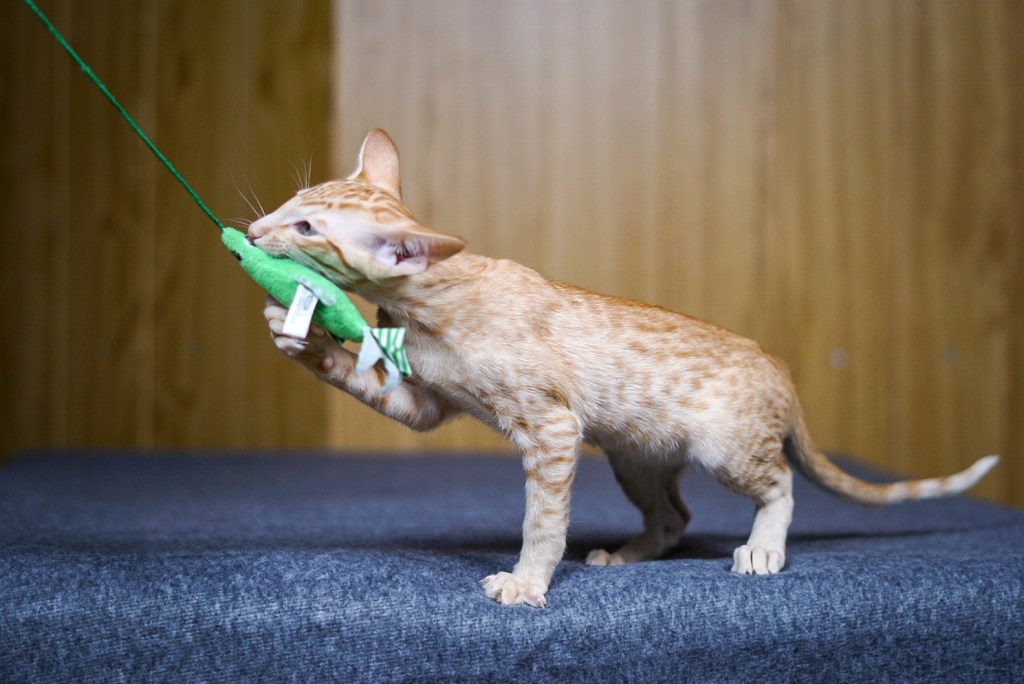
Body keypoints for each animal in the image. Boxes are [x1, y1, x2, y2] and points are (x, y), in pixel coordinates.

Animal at [249, 128, 1000, 608]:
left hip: (726, 449)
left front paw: (527, 583)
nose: (253, 232)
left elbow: (543, 521)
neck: (427, 303)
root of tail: (777, 362)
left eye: (308, 229)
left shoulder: (552, 429)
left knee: (782, 485)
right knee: (675, 516)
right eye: (291, 205)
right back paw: (627, 556)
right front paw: (299, 335)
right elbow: (363, 377)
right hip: (634, 455)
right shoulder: (427, 404)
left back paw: (762, 548)